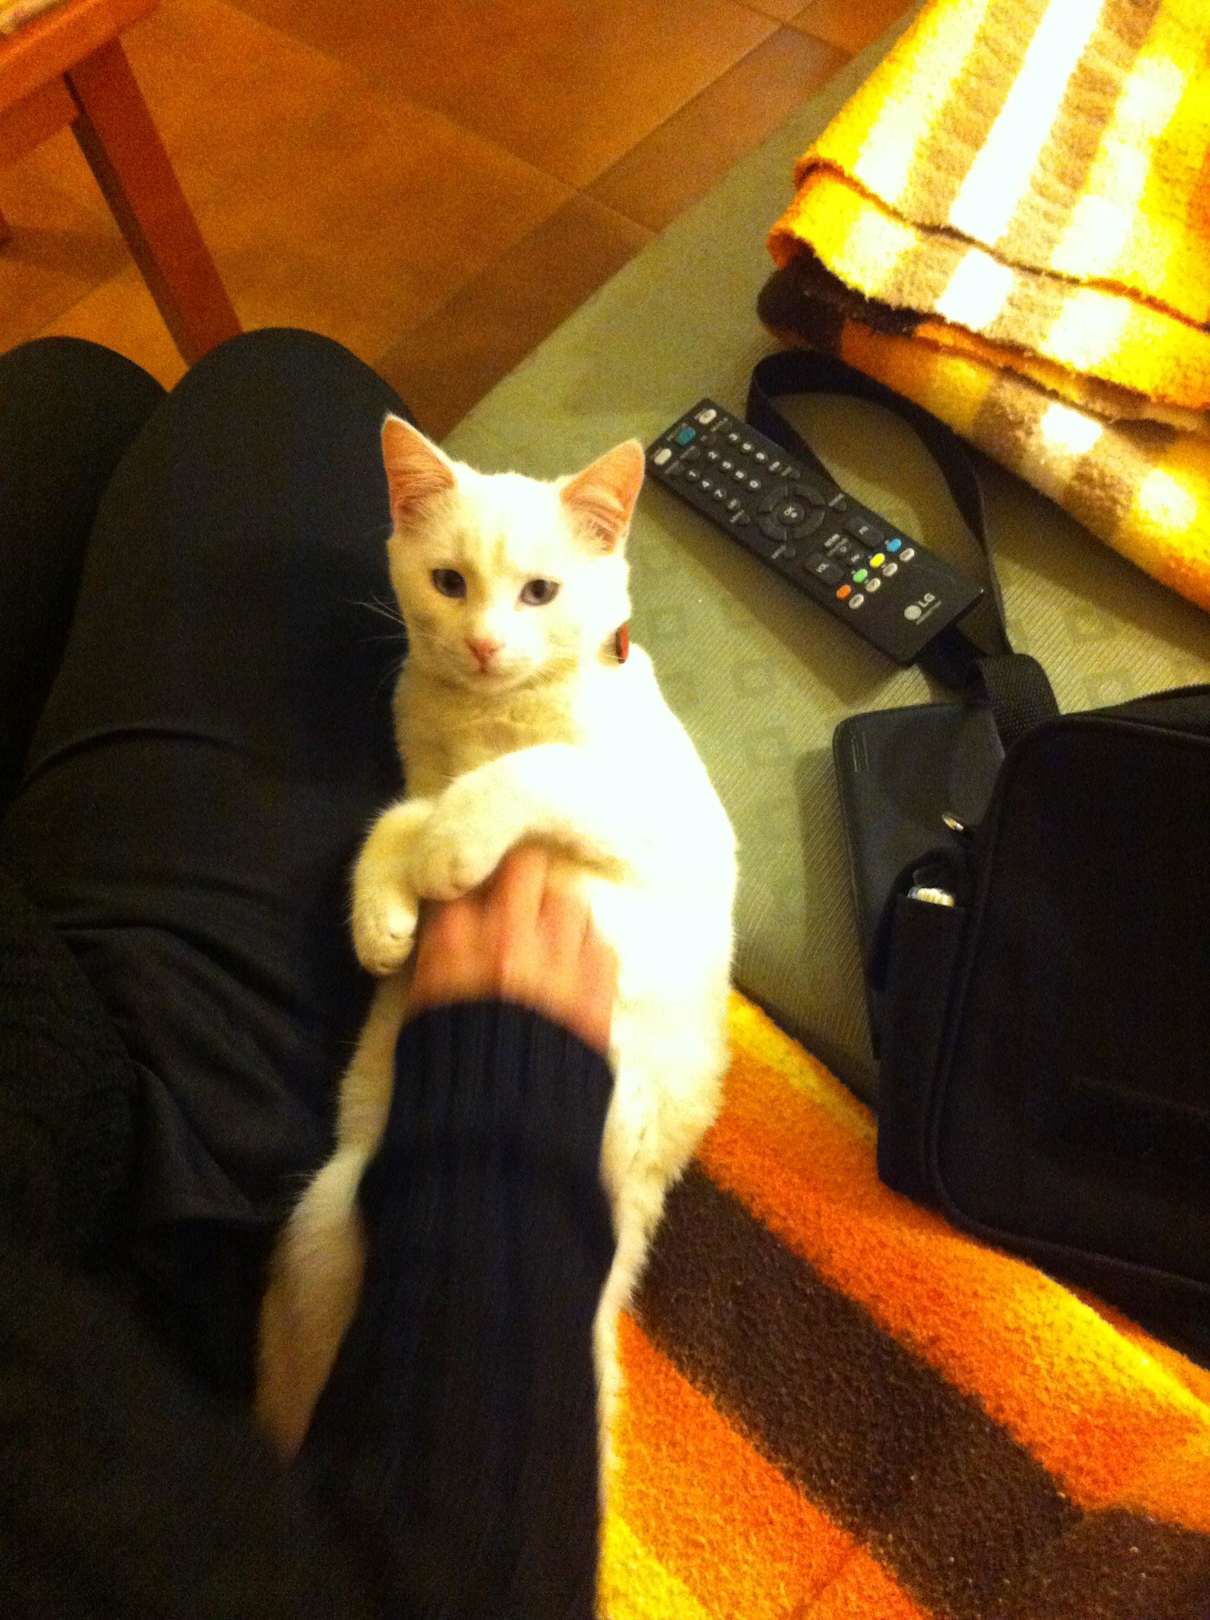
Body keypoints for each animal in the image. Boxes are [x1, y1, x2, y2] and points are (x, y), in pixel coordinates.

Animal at [257, 415, 737, 1476]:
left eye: (540, 593)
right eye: (448, 582)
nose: (481, 643)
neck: (489, 719)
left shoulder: (663, 825)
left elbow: (534, 773)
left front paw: (452, 852)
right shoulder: (420, 775)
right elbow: (397, 817)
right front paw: (382, 920)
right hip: (328, 1213)